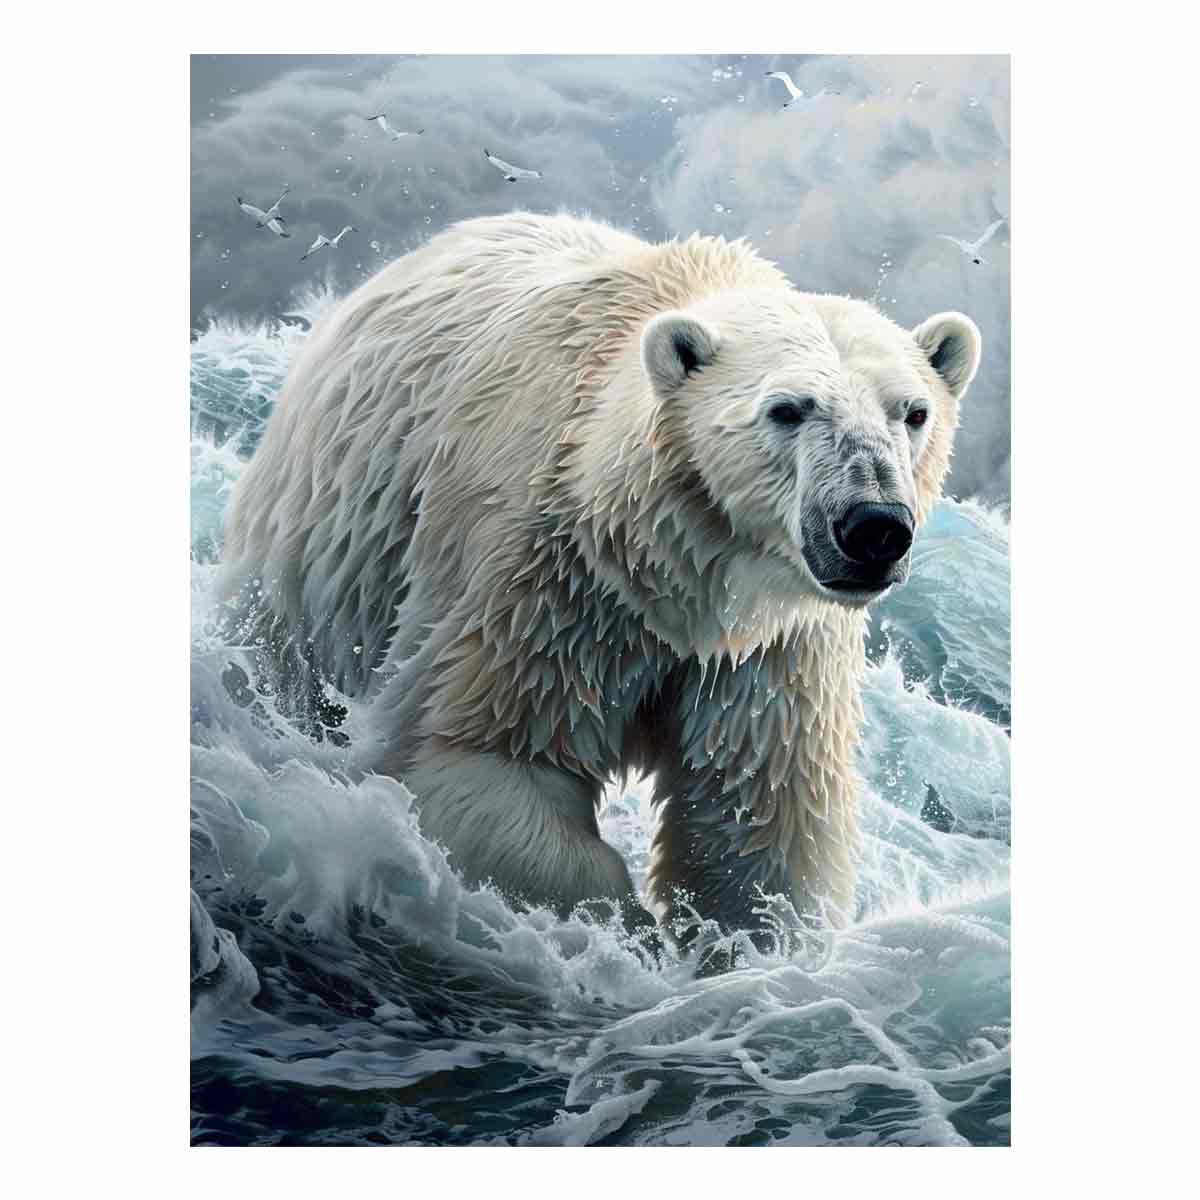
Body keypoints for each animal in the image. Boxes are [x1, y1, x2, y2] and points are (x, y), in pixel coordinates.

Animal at [219, 211, 981, 946]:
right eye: (789, 408)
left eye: (913, 412)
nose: (874, 526)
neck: (676, 571)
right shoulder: (543, 581)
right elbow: (484, 755)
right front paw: (626, 932)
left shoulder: (772, 648)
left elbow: (759, 817)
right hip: (327, 547)